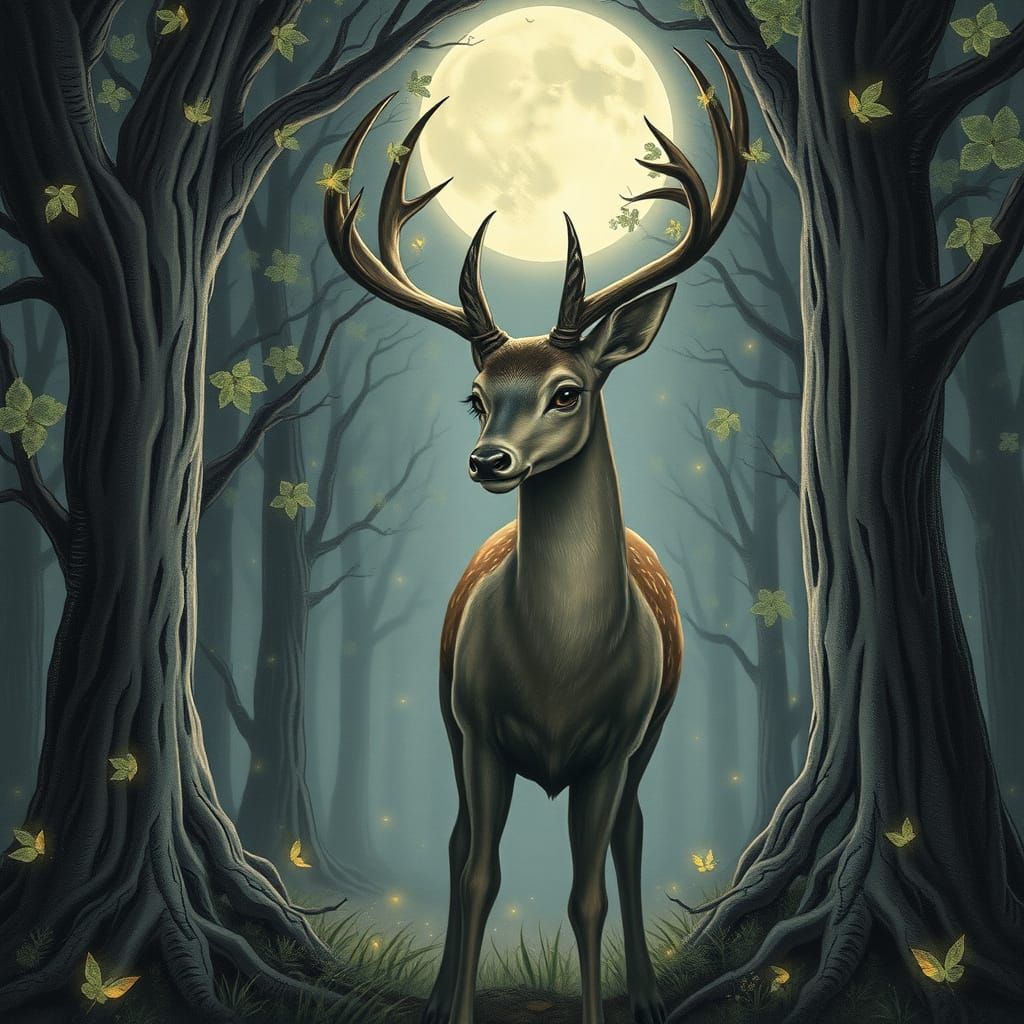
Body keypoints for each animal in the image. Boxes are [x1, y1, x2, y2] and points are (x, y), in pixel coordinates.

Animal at [323, 44, 747, 1024]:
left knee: (631, 837)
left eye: (567, 390)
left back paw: (647, 994)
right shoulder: (477, 725)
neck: (560, 670)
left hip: (654, 729)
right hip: (449, 719)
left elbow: (586, 893)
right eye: (476, 394)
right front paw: (454, 1007)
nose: (490, 460)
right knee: (455, 844)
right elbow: (479, 871)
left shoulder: (618, 737)